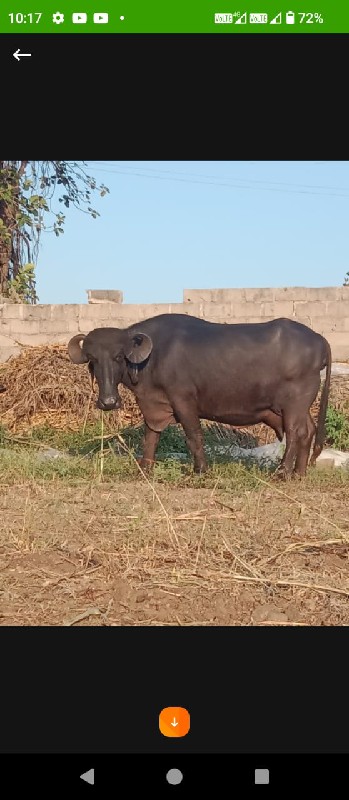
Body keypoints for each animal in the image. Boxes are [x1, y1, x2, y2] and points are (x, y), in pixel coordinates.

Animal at [66, 312, 330, 476]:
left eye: (119, 356)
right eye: (92, 360)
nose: (108, 402)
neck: (153, 357)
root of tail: (318, 340)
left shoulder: (183, 401)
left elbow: (194, 435)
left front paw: (201, 469)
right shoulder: (154, 405)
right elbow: (150, 436)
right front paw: (145, 468)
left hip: (295, 403)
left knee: (295, 432)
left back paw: (283, 472)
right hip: (301, 406)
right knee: (309, 430)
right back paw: (299, 473)